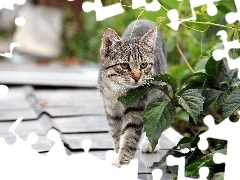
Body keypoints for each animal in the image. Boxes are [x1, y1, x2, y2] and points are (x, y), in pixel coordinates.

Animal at [98, 19, 167, 167]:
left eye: (143, 65)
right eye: (124, 65)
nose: (137, 77)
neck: (118, 91)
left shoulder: (136, 106)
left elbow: (130, 136)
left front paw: (123, 164)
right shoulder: (111, 109)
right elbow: (116, 133)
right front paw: (117, 153)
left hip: (158, 93)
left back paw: (149, 144)